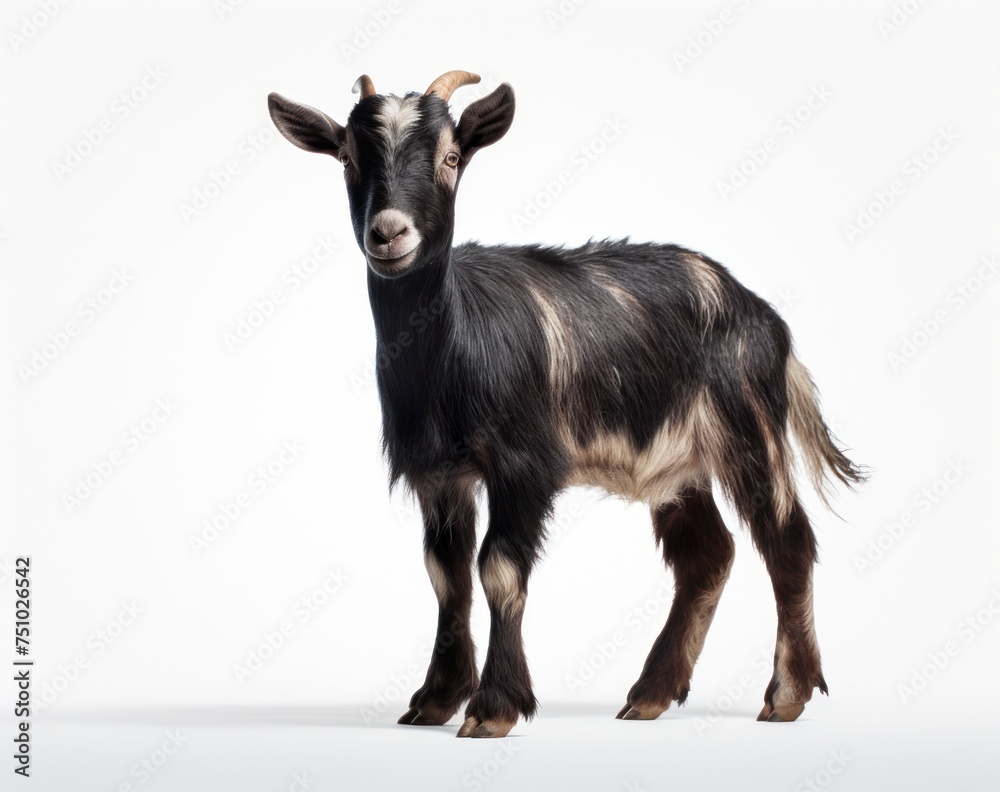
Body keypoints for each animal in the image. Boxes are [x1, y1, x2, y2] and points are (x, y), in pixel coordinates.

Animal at [267, 70, 864, 738]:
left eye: (452, 158)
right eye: (347, 158)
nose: (389, 232)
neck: (458, 341)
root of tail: (766, 319)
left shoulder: (523, 463)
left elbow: (498, 570)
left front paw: (493, 707)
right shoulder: (439, 473)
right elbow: (446, 576)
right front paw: (435, 699)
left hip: (748, 424)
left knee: (788, 540)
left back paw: (786, 694)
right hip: (678, 464)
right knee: (707, 556)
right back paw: (650, 695)